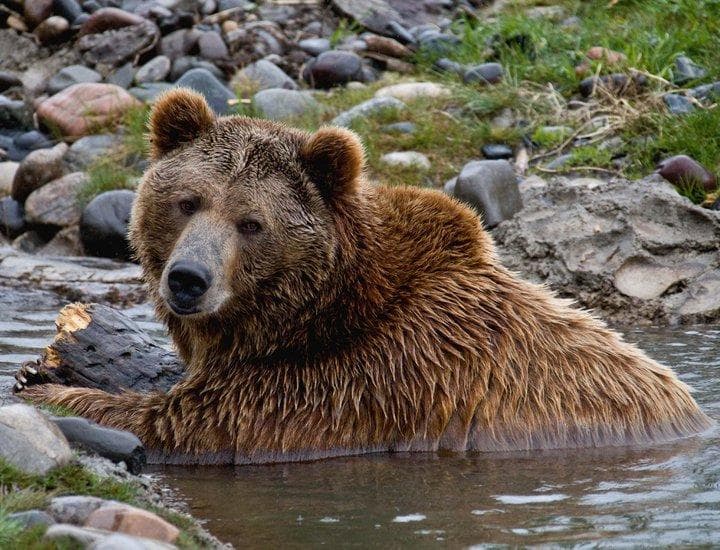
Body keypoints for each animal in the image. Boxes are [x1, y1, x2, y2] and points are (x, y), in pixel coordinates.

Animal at [18, 88, 712, 464]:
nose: (188, 279)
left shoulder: (361, 381)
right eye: (188, 201)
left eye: (251, 222)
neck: (328, 308)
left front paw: (46, 388)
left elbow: (186, 423)